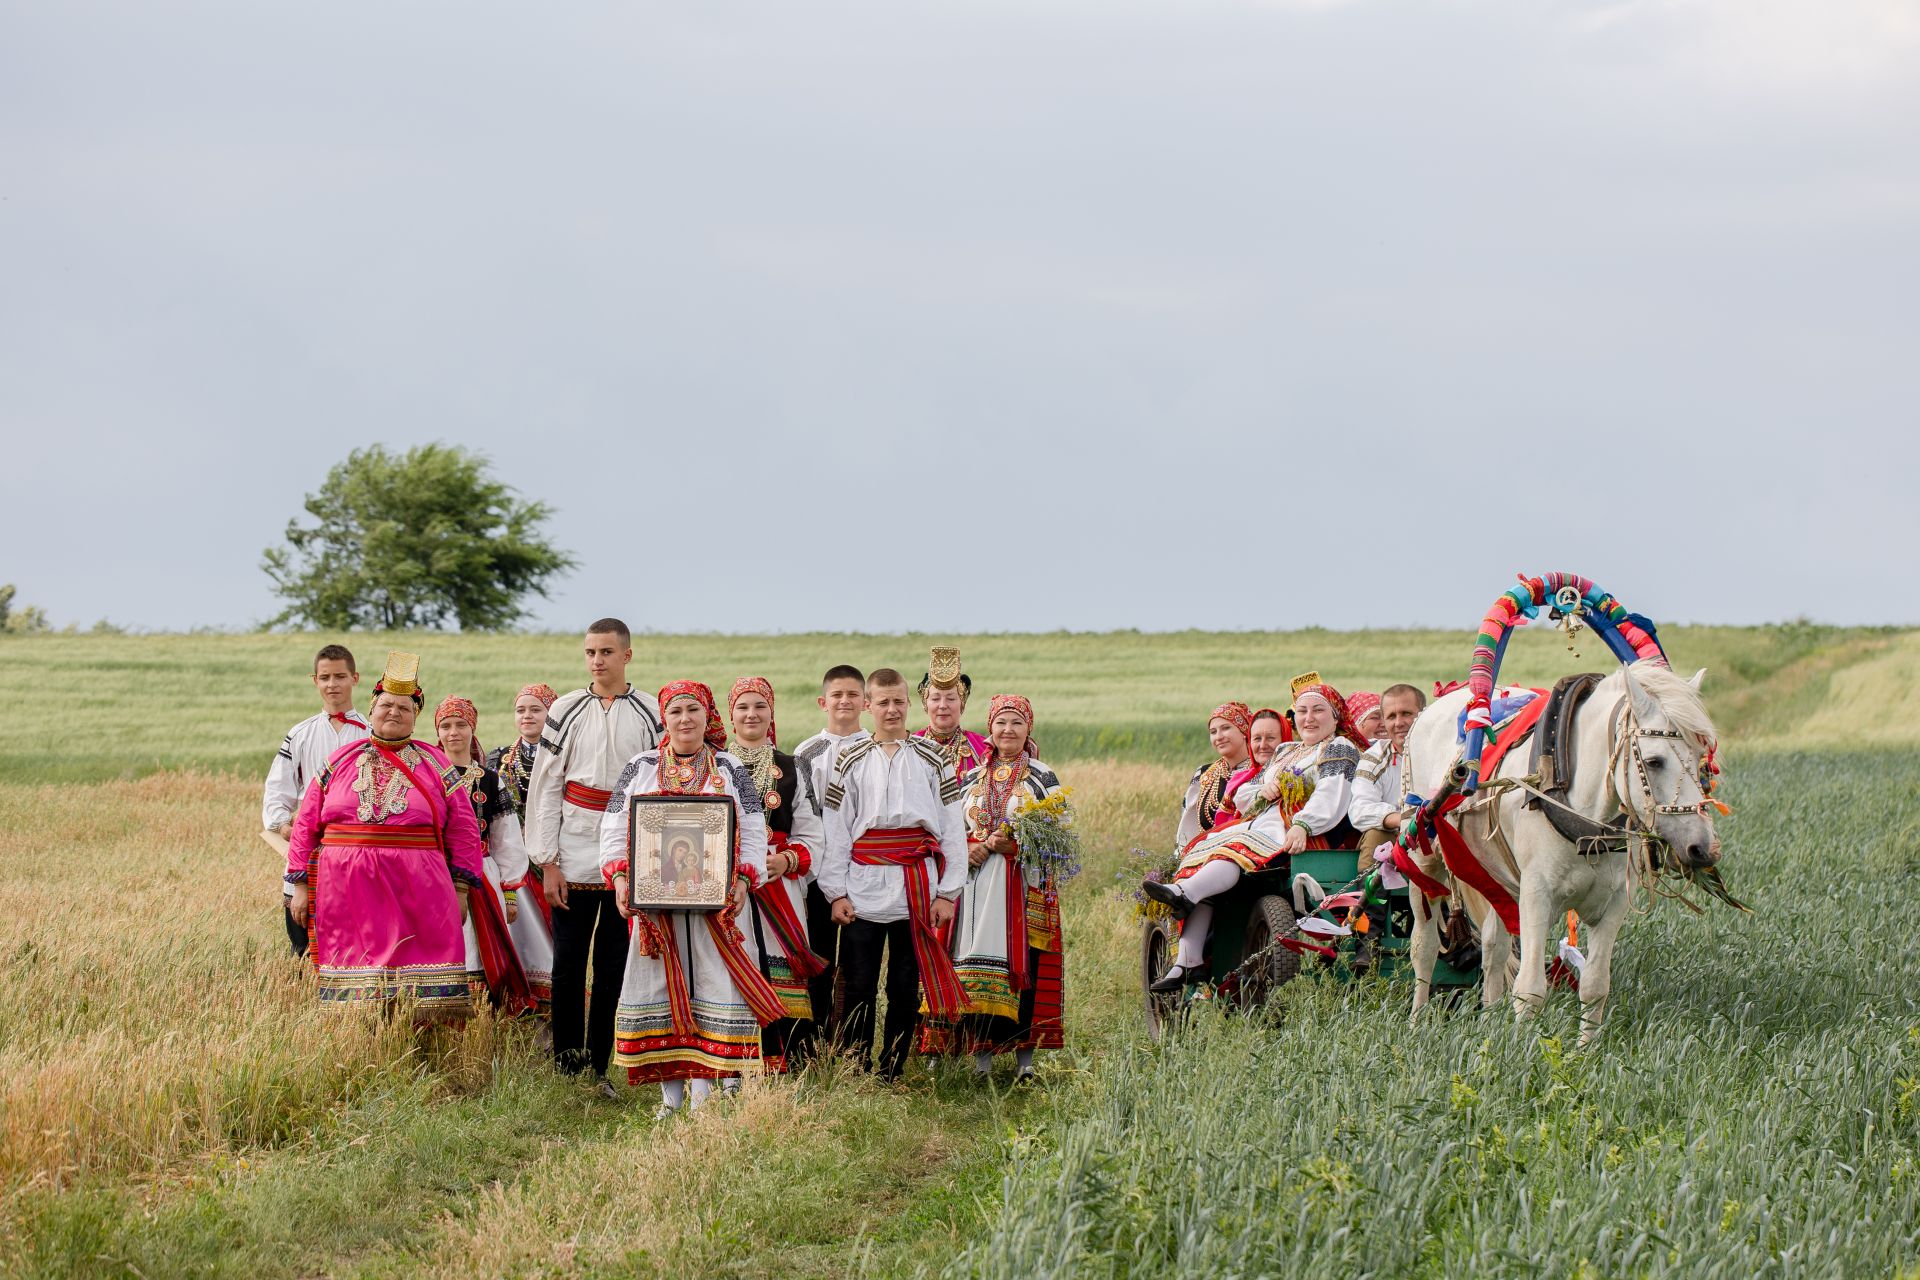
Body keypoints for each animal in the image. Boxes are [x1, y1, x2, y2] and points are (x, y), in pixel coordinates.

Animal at [1401, 661, 1720, 1046]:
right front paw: (1519, 1051)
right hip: (1424, 859)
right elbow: (1530, 989)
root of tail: (1434, 708)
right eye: (1654, 761)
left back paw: (1489, 1020)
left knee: (1493, 949)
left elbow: (1595, 985)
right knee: (1425, 947)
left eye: (1701, 758)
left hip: (1495, 880)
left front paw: (1585, 1051)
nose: (1702, 847)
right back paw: (1417, 1021)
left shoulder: (1612, 904)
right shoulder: (1536, 896)